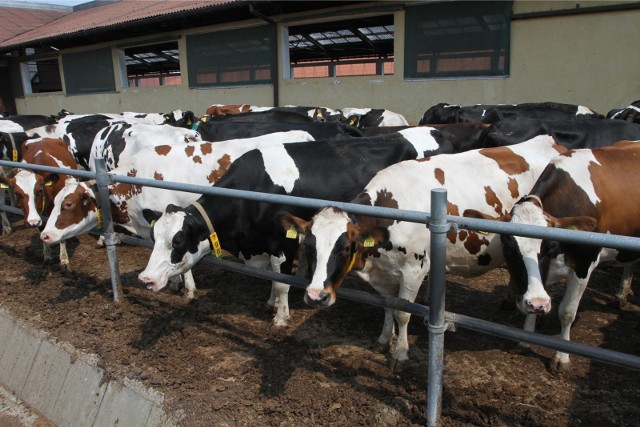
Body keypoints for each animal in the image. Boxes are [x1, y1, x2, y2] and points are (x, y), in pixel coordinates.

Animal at [464, 142, 640, 370]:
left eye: (549, 246)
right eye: (509, 246)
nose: (536, 302)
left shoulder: (585, 264)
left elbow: (567, 311)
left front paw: (561, 357)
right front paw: (526, 339)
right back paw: (622, 294)